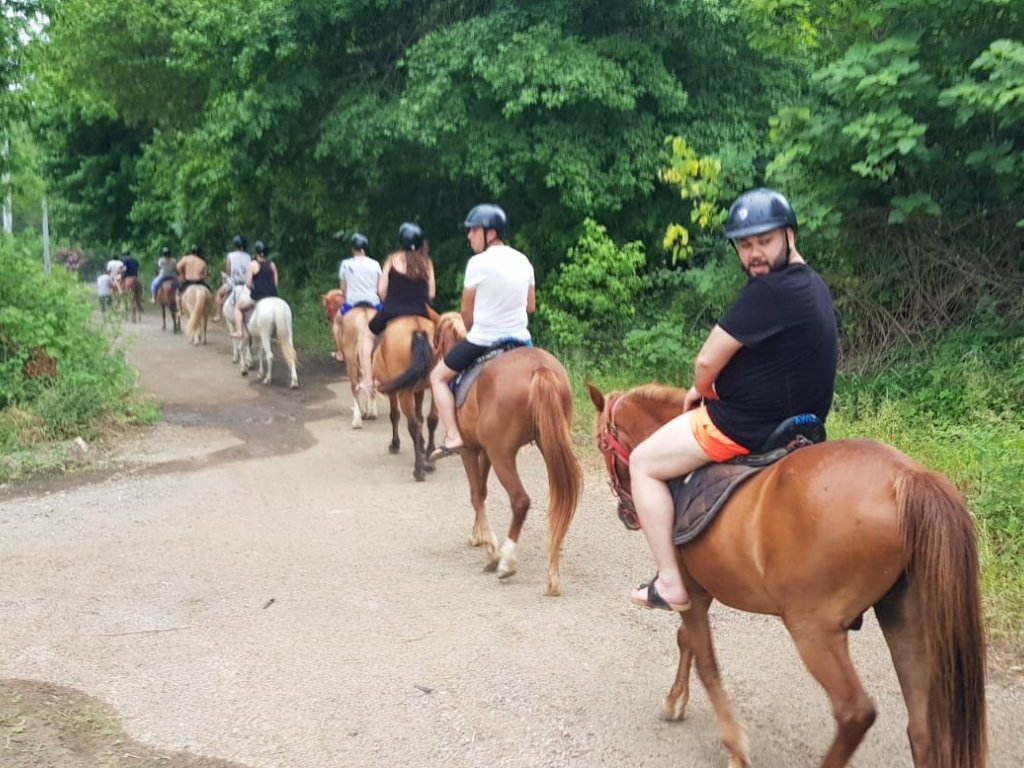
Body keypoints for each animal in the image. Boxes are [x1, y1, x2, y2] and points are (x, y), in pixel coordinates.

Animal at [376, 313, 440, 481]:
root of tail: (417, 331)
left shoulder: (393, 391)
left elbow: (394, 415)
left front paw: (395, 444)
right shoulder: (418, 390)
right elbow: (420, 416)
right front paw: (423, 445)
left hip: (403, 392)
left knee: (413, 424)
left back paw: (418, 470)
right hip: (435, 385)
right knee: (432, 419)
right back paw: (430, 459)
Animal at [434, 315, 585, 598]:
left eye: (436, 336)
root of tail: (539, 369)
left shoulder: (470, 450)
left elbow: (475, 494)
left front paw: (490, 549)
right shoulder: (485, 451)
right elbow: (482, 492)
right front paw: (479, 536)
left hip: (503, 455)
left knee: (520, 501)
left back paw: (506, 562)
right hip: (547, 447)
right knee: (558, 503)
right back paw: (552, 578)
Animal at [589, 385, 987, 768]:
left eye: (600, 443)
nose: (626, 514)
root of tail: (906, 478)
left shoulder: (692, 591)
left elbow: (705, 661)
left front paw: (734, 747)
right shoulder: (699, 592)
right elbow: (686, 640)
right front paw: (675, 701)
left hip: (814, 629)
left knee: (855, 712)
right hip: (908, 622)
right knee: (922, 729)